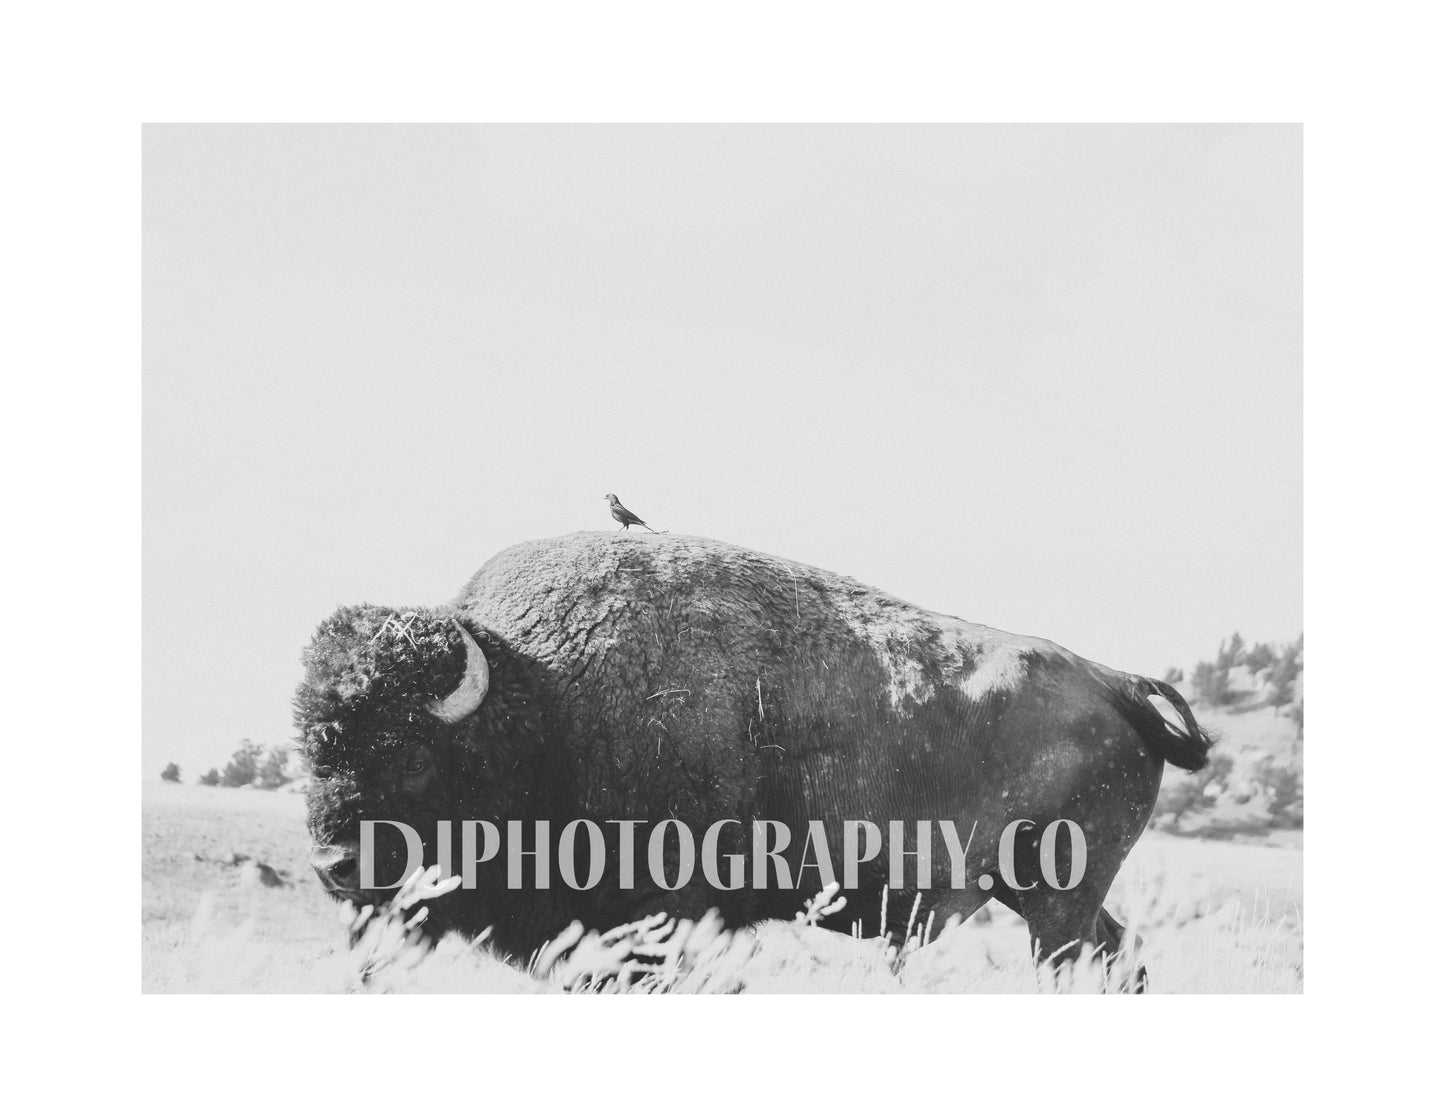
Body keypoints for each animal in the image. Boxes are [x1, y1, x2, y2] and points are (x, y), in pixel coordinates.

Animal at [296, 531, 1209, 980]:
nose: (336, 865)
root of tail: (1113, 681)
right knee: (1119, 958)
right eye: (309, 748)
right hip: (1044, 895)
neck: (541, 697)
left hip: (1057, 899)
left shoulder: (658, 917)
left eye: (410, 754)